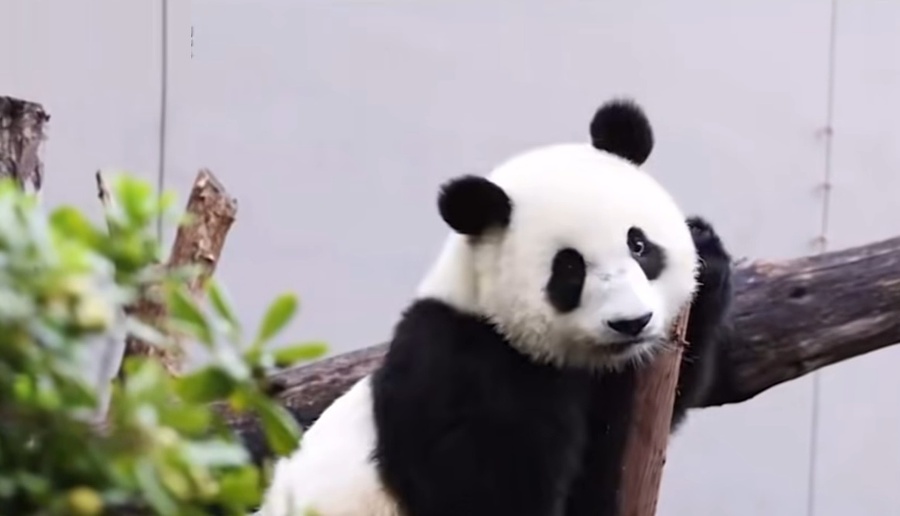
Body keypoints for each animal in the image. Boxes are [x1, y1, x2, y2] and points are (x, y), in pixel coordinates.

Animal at [255, 99, 735, 516]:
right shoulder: (468, 373)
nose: (631, 322)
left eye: (639, 244)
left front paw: (706, 258)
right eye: (568, 269)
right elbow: (482, 492)